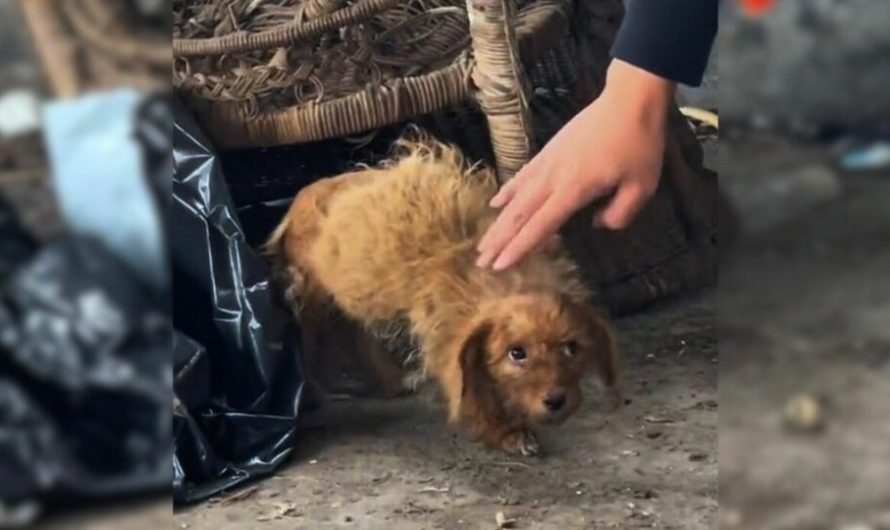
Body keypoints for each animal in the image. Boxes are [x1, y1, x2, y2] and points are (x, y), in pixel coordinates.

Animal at [268, 138, 620, 452]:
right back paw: (312, 395)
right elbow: (474, 390)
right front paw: (506, 433)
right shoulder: (447, 333)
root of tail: (301, 196)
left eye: (571, 348)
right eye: (516, 353)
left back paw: (390, 380)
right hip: (311, 295)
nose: (556, 401)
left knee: (358, 331)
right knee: (308, 342)